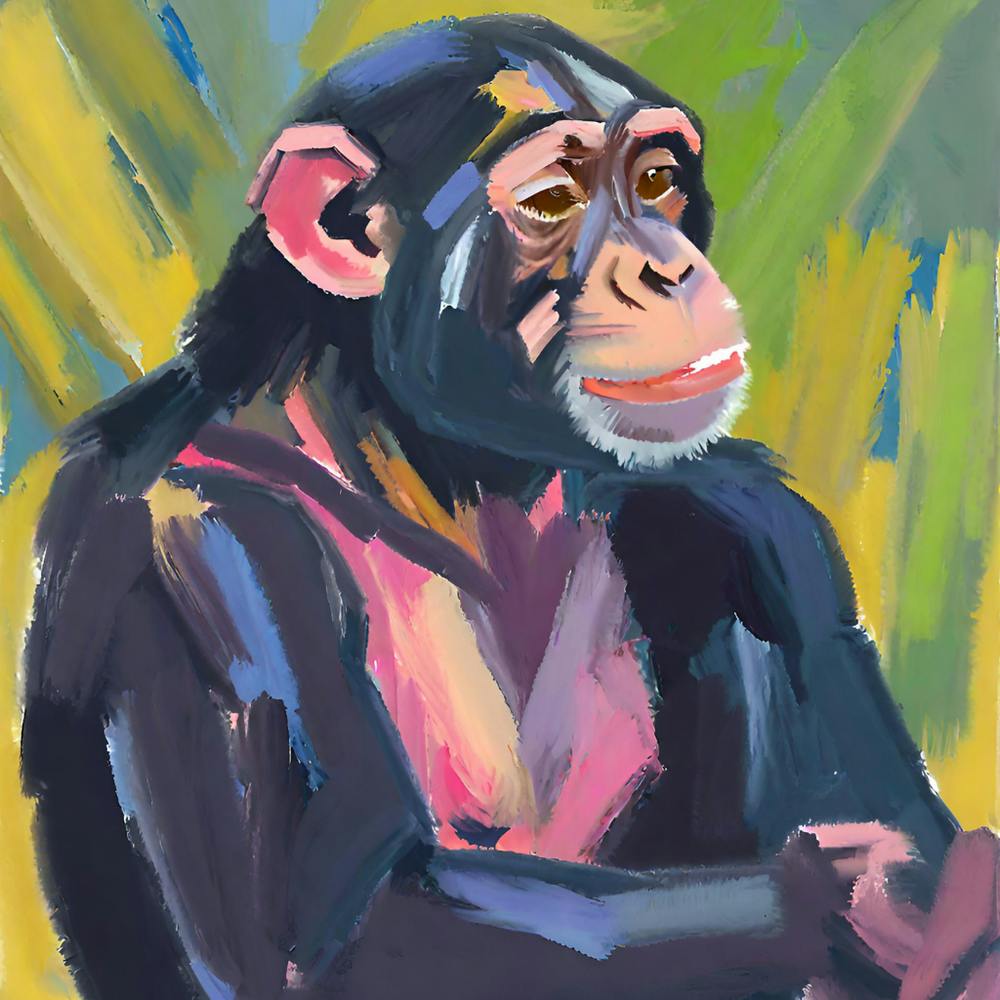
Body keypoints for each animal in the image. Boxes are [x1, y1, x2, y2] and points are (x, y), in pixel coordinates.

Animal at [19, 15, 996, 1000]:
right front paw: (866, 900)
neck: (450, 474)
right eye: (554, 199)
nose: (667, 268)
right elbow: (342, 928)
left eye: (655, 183)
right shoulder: (196, 546)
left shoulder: (775, 529)